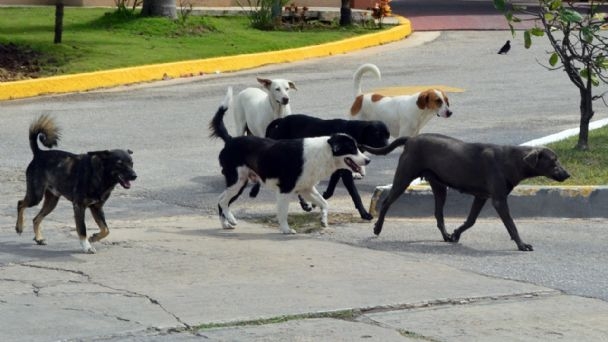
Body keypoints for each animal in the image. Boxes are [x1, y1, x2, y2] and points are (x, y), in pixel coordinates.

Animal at [15, 116, 137, 252]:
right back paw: (19, 227)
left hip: (52, 201)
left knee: (36, 218)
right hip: (36, 196)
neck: (100, 174)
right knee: (20, 204)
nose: (134, 176)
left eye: (131, 163)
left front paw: (93, 238)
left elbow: (106, 229)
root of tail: (39, 153)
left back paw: (39, 238)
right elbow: (82, 229)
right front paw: (87, 246)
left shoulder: (97, 207)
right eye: (119, 164)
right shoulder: (79, 206)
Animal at [209, 88, 370, 234]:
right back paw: (230, 219)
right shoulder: (285, 190)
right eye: (351, 148)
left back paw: (226, 224)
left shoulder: (306, 188)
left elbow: (324, 203)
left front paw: (323, 220)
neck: (323, 152)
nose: (368, 160)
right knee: (222, 201)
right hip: (237, 181)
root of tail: (230, 140)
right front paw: (286, 229)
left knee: (222, 201)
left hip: (240, 183)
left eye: (358, 147)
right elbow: (283, 213)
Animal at [248, 114, 390, 219]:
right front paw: (364, 213)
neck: (353, 131)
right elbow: (355, 193)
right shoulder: (345, 171)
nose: (388, 146)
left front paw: (319, 199)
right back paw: (254, 191)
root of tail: (282, 120)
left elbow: (331, 188)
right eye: (378, 134)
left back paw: (304, 203)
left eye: (388, 135)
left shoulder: (338, 168)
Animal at [364, 134, 572, 251]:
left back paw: (446, 236)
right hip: (404, 177)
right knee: (386, 202)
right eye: (554, 161)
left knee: (438, 213)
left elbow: (471, 220)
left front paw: (456, 233)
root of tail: (411, 139)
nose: (568, 174)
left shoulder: (481, 197)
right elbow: (512, 225)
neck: (512, 160)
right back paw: (377, 228)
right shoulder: (498, 200)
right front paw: (522, 245)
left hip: (439, 186)